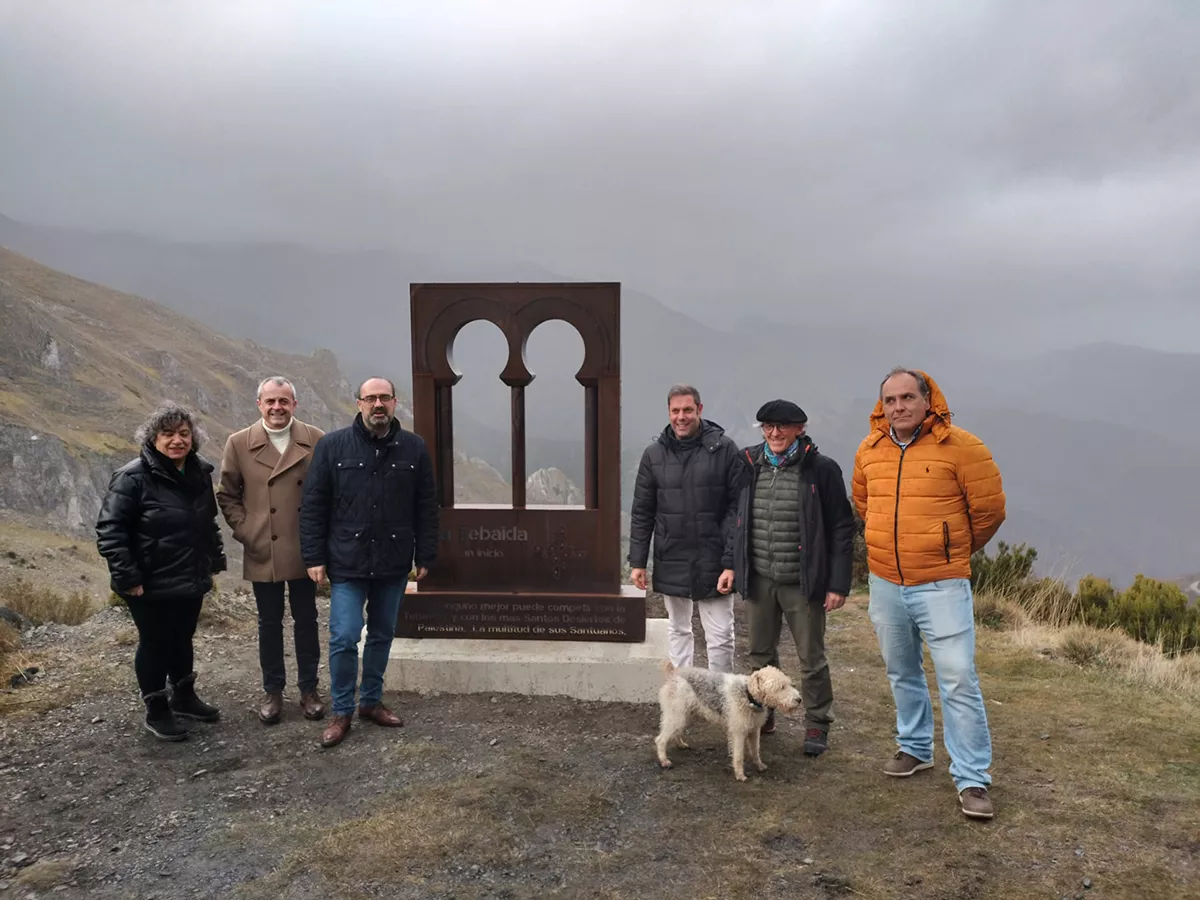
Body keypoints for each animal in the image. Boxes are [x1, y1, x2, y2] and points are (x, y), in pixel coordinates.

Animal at [652, 662, 801, 782]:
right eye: (781, 687)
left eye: (788, 684)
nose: (799, 699)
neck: (748, 696)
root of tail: (674, 673)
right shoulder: (738, 733)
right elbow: (739, 756)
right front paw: (740, 775)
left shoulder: (754, 730)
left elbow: (755, 751)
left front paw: (759, 766)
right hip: (676, 715)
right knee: (660, 740)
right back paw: (664, 761)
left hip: (684, 715)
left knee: (675, 733)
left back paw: (681, 744)